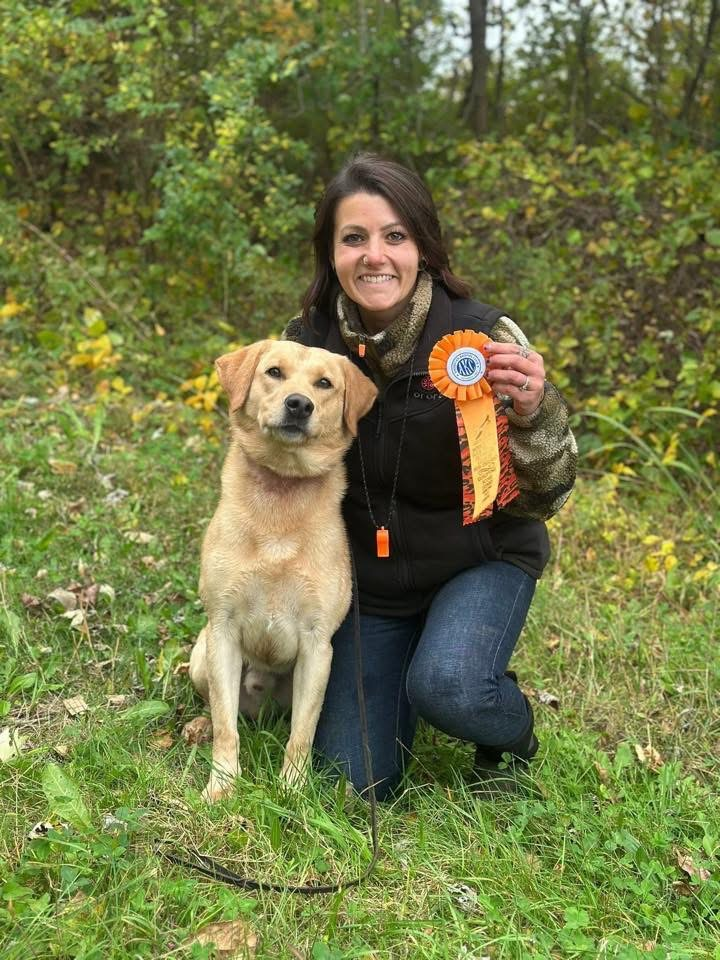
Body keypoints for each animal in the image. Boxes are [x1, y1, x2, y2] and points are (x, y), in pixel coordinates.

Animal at [188, 339, 377, 802]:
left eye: (324, 383)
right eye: (274, 372)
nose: (298, 404)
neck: (281, 493)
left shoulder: (317, 646)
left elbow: (302, 734)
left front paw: (293, 792)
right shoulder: (223, 629)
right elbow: (227, 727)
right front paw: (222, 787)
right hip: (201, 654)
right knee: (219, 710)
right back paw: (199, 726)